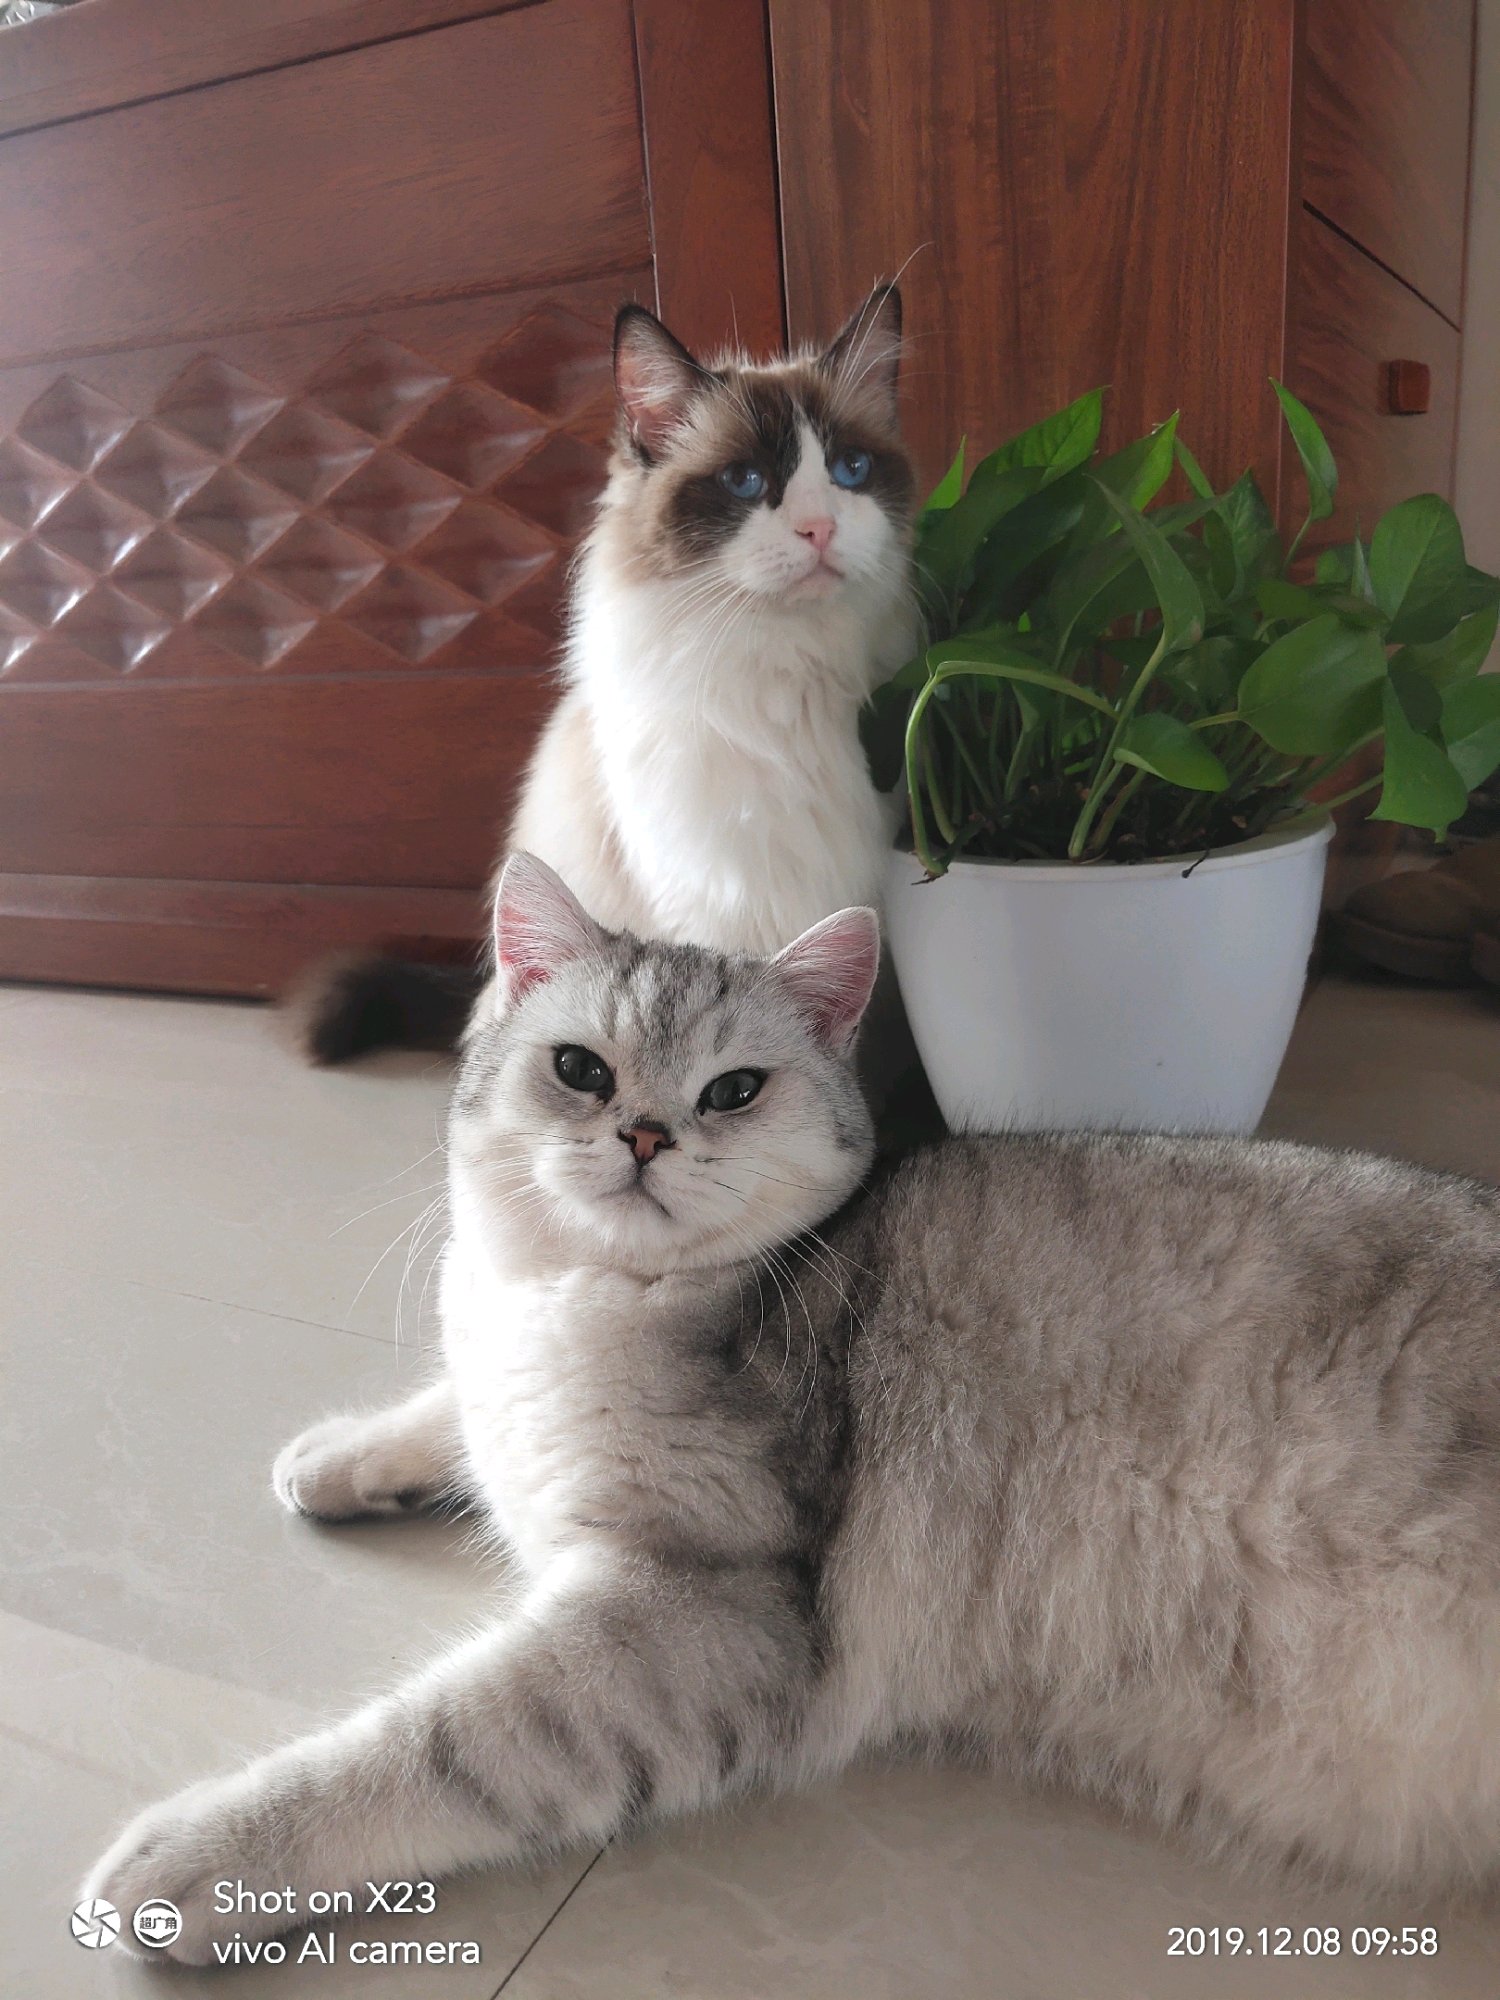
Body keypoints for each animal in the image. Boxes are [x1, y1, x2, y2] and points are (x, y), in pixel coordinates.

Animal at [86, 854, 1500, 1963]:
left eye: (732, 1090)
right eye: (579, 1069)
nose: (646, 1133)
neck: (584, 1301)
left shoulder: (704, 1608)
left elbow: (435, 1744)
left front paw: (194, 1855)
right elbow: (454, 1409)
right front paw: (340, 1453)